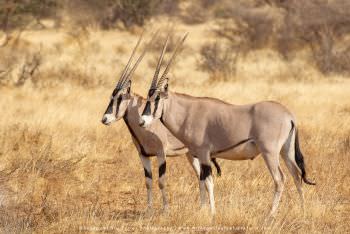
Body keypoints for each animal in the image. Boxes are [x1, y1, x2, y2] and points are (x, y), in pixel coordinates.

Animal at [102, 33, 221, 212]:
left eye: (121, 98)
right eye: (111, 97)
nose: (105, 119)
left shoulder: (161, 154)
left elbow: (161, 182)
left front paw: (165, 209)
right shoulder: (143, 156)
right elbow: (148, 181)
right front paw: (149, 210)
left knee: (208, 179)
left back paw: (210, 209)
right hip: (190, 154)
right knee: (200, 177)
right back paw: (201, 207)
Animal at [139, 33, 314, 216]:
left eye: (157, 98)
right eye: (147, 97)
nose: (142, 121)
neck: (187, 113)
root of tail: (288, 115)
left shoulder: (204, 154)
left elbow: (208, 182)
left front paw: (211, 212)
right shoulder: (198, 155)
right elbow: (201, 181)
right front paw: (202, 209)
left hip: (270, 152)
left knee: (280, 179)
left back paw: (271, 215)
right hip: (286, 151)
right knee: (296, 174)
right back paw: (303, 211)